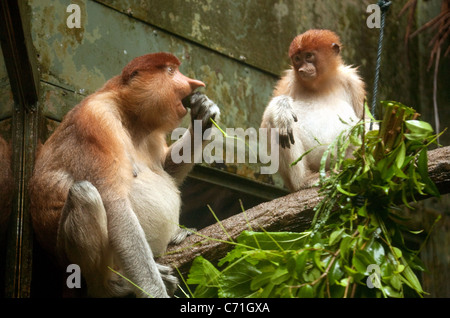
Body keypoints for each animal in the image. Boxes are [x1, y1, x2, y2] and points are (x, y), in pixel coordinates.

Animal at [28, 52, 220, 298]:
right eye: (170, 71)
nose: (195, 83)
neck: (129, 114)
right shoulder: (96, 122)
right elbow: (115, 204)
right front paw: (155, 292)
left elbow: (166, 170)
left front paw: (204, 115)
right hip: (69, 259)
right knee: (84, 193)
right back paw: (110, 286)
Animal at [262, 29, 368, 191]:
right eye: (297, 58)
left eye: (308, 56)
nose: (302, 69)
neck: (319, 85)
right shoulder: (289, 80)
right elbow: (266, 120)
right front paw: (283, 110)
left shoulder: (353, 81)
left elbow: (366, 119)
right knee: (274, 124)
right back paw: (304, 181)